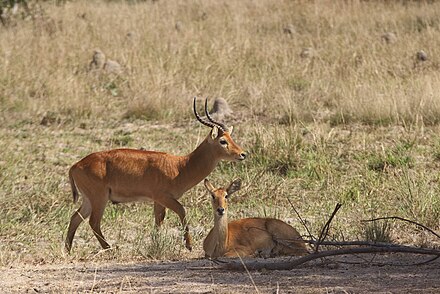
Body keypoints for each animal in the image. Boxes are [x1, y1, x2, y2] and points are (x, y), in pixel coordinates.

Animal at [65, 97, 246, 252]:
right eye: (222, 141)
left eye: (231, 137)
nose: (243, 154)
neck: (180, 166)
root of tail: (75, 165)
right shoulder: (163, 197)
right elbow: (182, 211)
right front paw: (189, 245)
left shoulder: (158, 202)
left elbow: (158, 222)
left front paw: (156, 244)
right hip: (99, 199)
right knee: (93, 222)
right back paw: (109, 248)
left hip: (89, 200)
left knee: (75, 218)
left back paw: (68, 250)